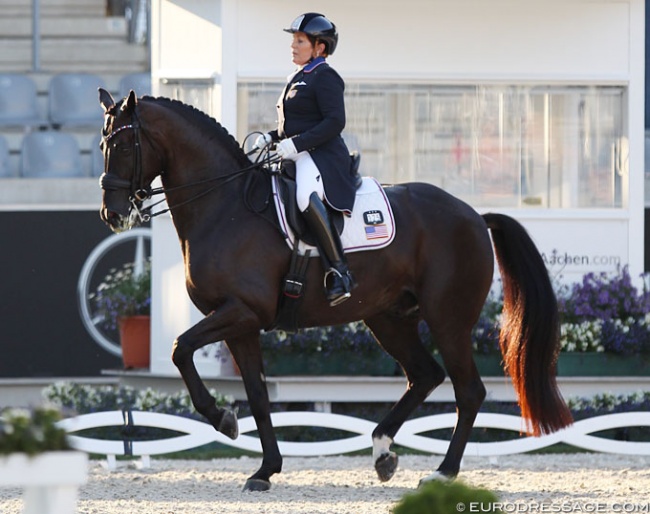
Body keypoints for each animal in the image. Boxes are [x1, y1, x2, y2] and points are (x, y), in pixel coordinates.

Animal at [97, 90, 572, 490]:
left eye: (123, 146)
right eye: (103, 145)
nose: (112, 214)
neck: (224, 206)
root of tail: (474, 215)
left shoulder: (242, 312)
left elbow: (180, 348)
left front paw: (222, 419)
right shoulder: (240, 325)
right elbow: (258, 396)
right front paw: (264, 470)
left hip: (447, 320)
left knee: (467, 390)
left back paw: (442, 472)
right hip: (388, 318)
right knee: (425, 375)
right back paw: (382, 451)